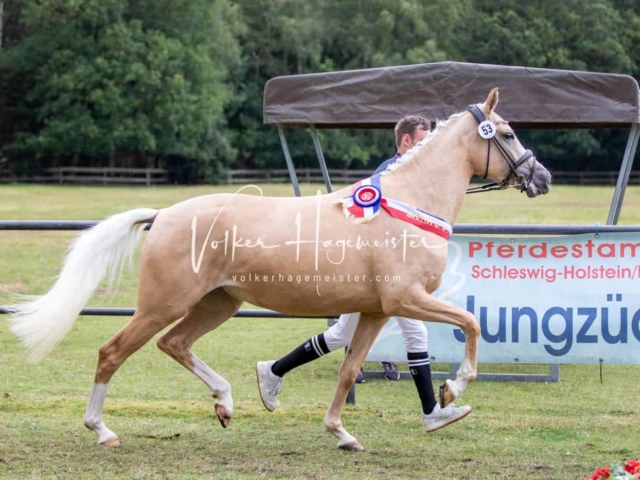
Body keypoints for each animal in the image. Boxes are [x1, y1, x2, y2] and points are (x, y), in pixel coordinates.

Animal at [8, 89, 552, 450]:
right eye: (506, 133)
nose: (541, 176)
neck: (408, 205)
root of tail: (162, 215)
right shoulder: (407, 299)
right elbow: (472, 323)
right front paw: (453, 389)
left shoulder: (376, 311)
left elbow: (350, 369)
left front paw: (342, 433)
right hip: (163, 303)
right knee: (113, 352)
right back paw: (102, 430)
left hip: (219, 303)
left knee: (175, 344)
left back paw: (228, 402)